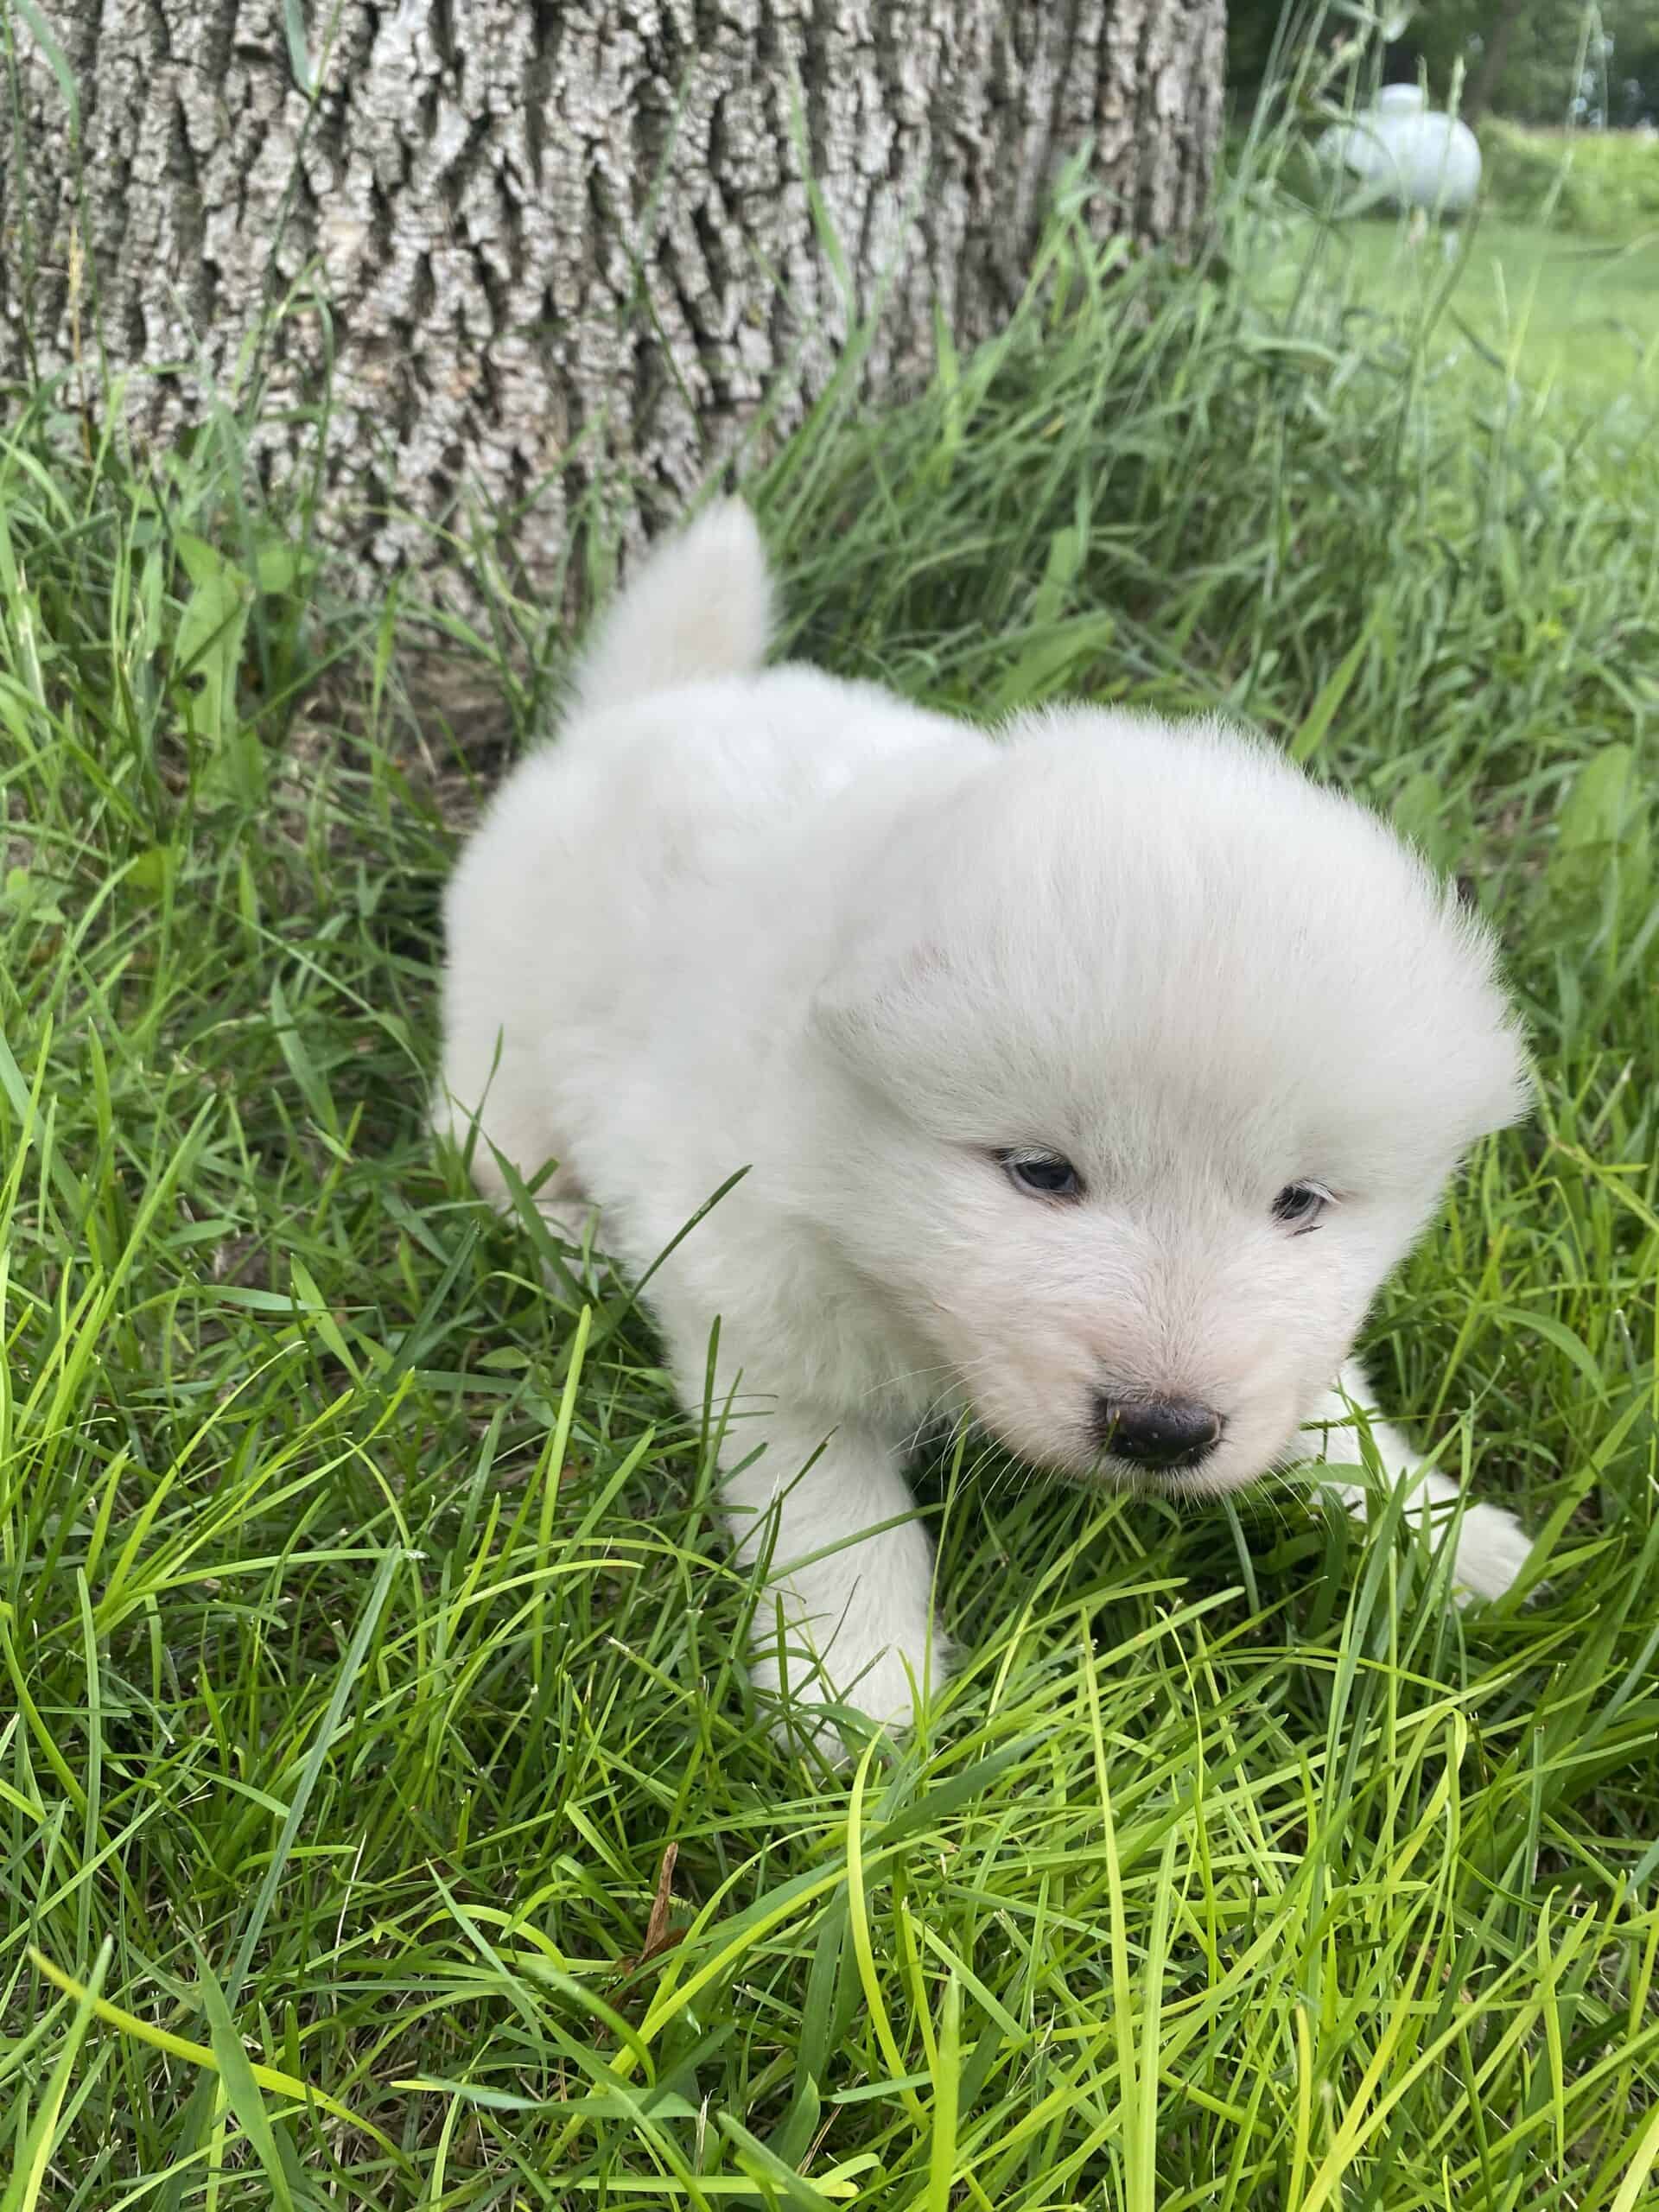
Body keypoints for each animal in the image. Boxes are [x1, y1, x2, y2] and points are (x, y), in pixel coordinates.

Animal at [437, 508, 1530, 1734]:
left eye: (1300, 1200)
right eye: (1042, 1172)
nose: (1164, 1430)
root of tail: (638, 712)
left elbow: (1335, 1400)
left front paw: (1452, 1533)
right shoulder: (759, 1315)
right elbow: (835, 1510)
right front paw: (857, 1694)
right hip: (506, 1033)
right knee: (476, 1141)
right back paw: (572, 1239)